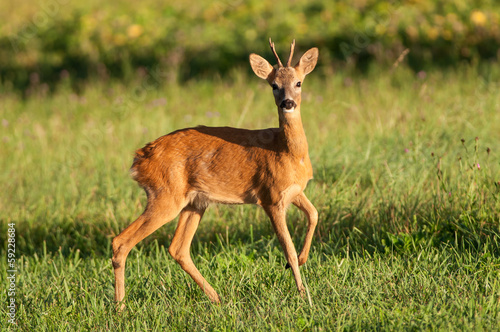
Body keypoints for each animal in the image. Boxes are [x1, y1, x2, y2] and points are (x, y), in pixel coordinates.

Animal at [111, 38, 318, 306]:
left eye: (298, 82)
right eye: (274, 85)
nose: (288, 103)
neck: (288, 151)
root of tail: (139, 158)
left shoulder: (293, 192)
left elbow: (314, 214)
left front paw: (303, 262)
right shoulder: (270, 196)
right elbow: (288, 249)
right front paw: (304, 296)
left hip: (194, 202)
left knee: (178, 248)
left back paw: (217, 298)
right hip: (165, 195)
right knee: (121, 241)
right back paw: (120, 306)